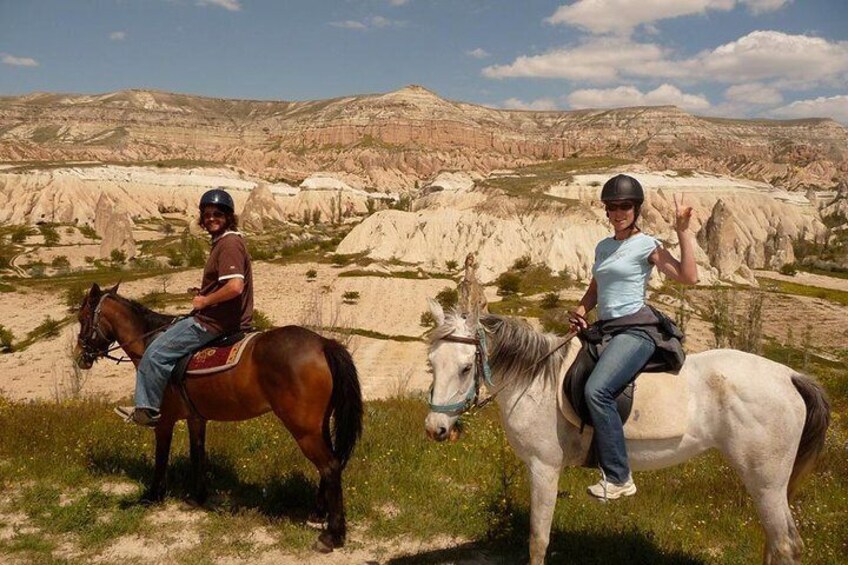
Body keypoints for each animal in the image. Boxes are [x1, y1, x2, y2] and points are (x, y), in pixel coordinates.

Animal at [73, 282, 362, 552]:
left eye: (82, 317)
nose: (79, 357)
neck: (149, 343)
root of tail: (323, 343)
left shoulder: (163, 420)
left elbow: (161, 457)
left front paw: (153, 495)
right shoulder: (196, 418)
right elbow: (197, 453)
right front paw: (197, 497)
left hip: (303, 429)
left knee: (330, 466)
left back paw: (333, 535)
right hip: (318, 426)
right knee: (331, 464)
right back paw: (318, 514)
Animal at [424, 302, 828, 564]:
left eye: (465, 368)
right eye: (431, 364)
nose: (435, 429)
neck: (537, 380)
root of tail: (790, 376)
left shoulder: (545, 468)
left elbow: (538, 539)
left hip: (766, 482)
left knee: (785, 545)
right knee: (778, 544)